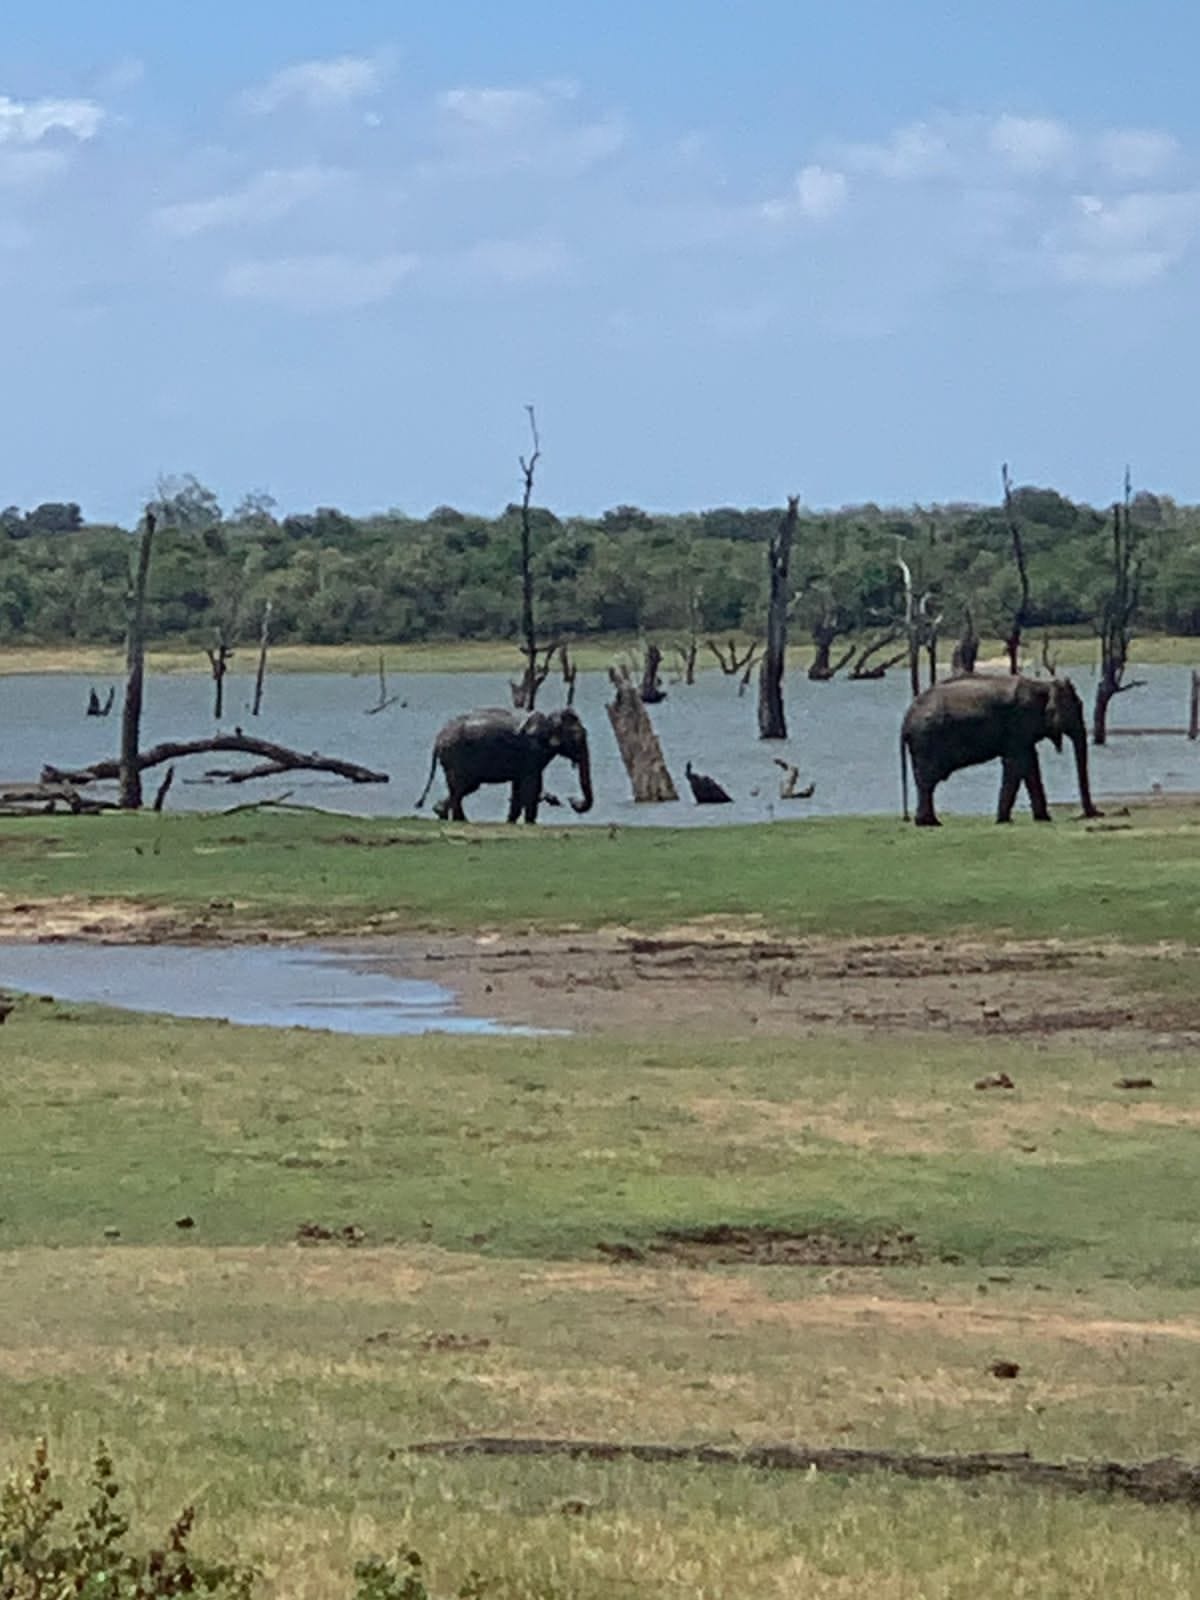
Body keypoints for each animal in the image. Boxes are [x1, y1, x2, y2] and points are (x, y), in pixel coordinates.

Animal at [415, 706, 594, 823]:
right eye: (578, 738)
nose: (572, 800)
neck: (550, 720)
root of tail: (438, 739)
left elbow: (519, 786)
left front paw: (511, 821)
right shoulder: (532, 751)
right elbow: (532, 785)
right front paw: (530, 823)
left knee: (463, 788)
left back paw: (442, 813)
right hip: (456, 757)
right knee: (461, 787)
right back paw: (460, 820)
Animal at [900, 674, 1101, 827]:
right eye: (1077, 708)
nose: (1094, 813)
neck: (1043, 684)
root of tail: (906, 719)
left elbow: (1030, 764)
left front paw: (1043, 819)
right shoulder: (1018, 723)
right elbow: (1016, 764)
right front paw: (1003, 821)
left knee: (924, 779)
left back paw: (928, 821)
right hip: (926, 740)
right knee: (928, 780)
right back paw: (929, 823)